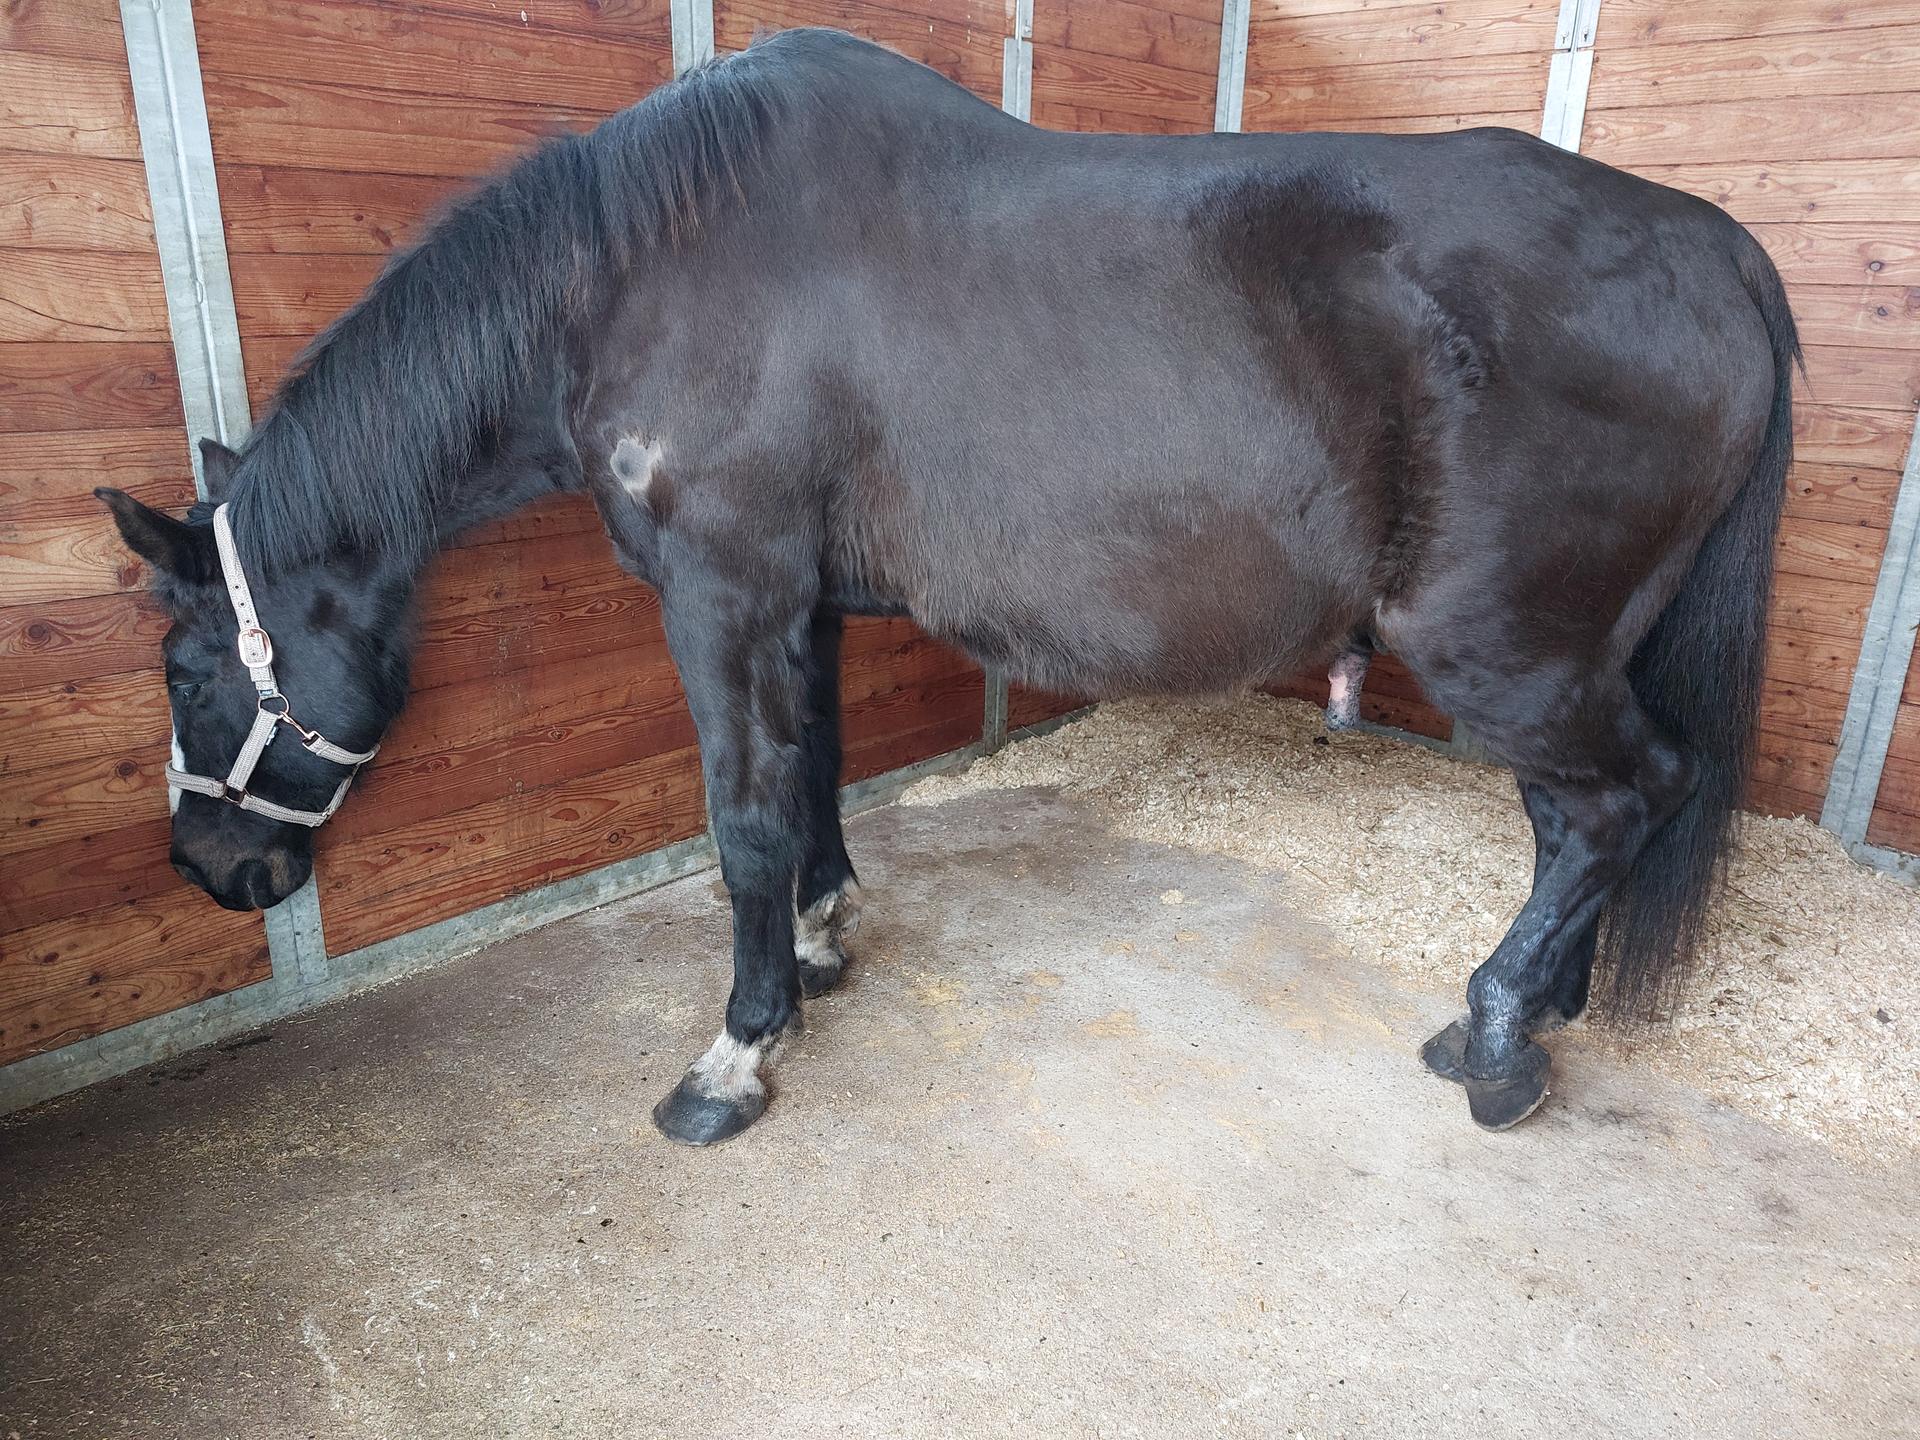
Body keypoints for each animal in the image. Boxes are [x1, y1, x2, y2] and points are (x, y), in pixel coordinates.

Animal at [98, 27, 1799, 1144]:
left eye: (188, 673)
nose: (212, 872)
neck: (643, 270)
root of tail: (1715, 247)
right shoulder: (799, 600)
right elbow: (816, 775)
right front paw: (820, 944)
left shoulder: (722, 589)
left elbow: (742, 813)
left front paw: (737, 1052)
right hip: (1565, 650)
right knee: (1579, 820)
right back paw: (1525, 1008)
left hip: (1503, 648)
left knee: (1619, 801)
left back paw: (1503, 1042)